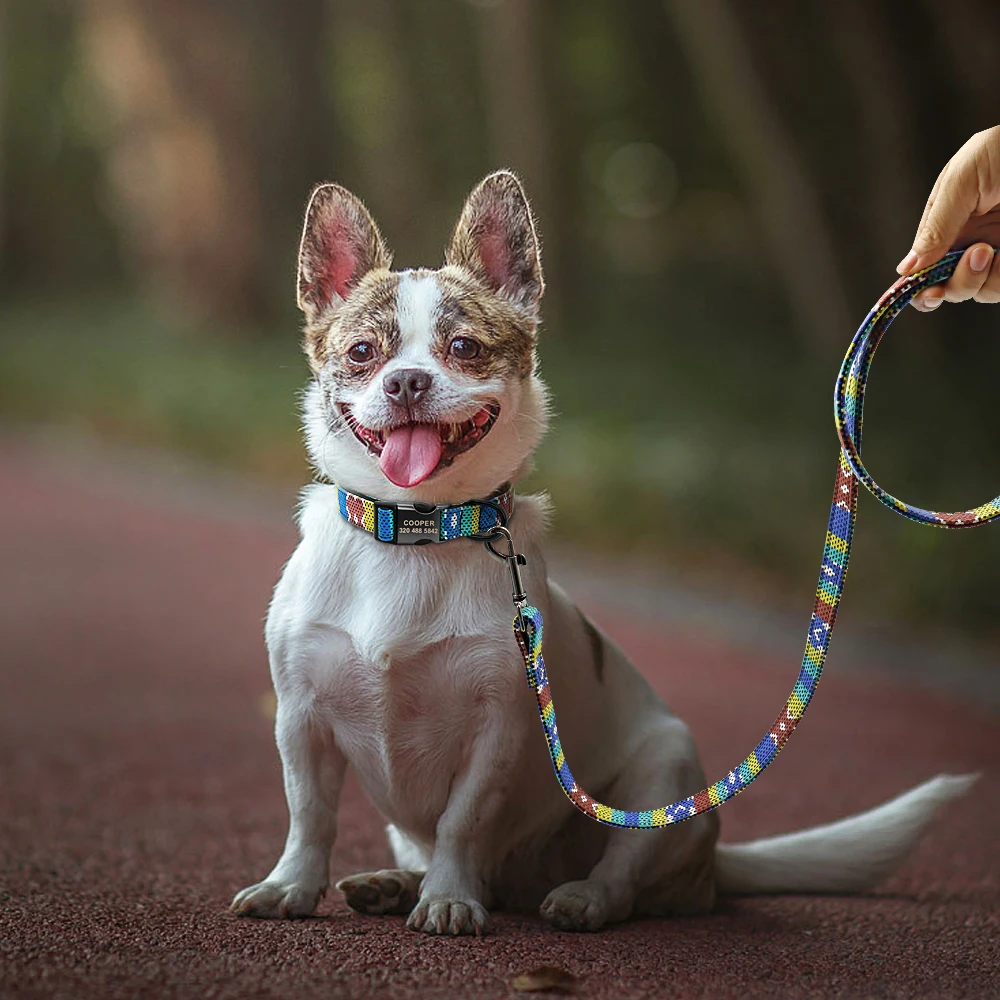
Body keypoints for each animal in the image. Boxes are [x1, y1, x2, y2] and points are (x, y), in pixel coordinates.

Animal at [232, 174, 968, 936]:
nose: (406, 380)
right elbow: (309, 816)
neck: (418, 530)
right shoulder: (300, 721)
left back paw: (576, 897)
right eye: (361, 353)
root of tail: (713, 864)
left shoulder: (496, 732)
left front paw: (448, 897)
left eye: (464, 346)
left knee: (623, 872)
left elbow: (463, 821)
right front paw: (291, 886)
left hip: (664, 774)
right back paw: (392, 883)